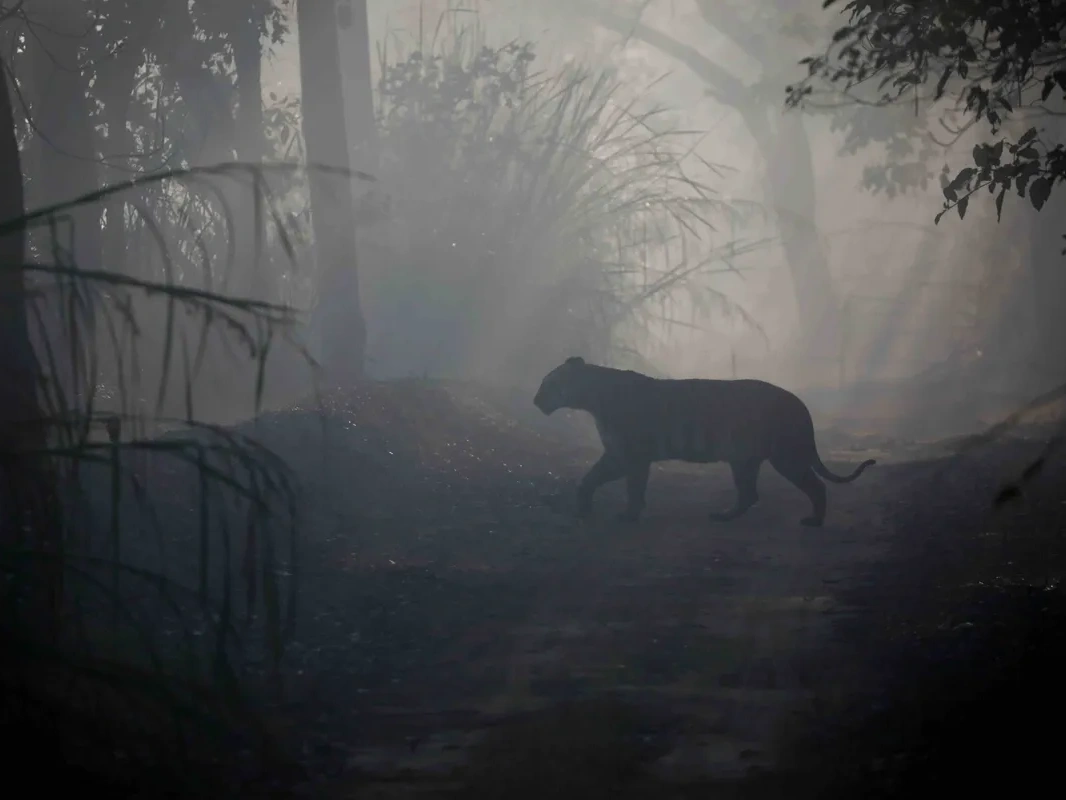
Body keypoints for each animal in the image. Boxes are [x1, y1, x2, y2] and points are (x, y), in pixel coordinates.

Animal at [533, 356, 875, 527]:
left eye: (547, 383)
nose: (535, 400)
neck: (592, 398)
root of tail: (799, 404)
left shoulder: (631, 455)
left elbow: (632, 487)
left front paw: (628, 515)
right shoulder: (617, 455)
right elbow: (589, 479)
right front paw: (582, 509)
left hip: (785, 456)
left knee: (815, 486)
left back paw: (814, 521)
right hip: (745, 461)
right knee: (749, 494)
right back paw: (724, 516)